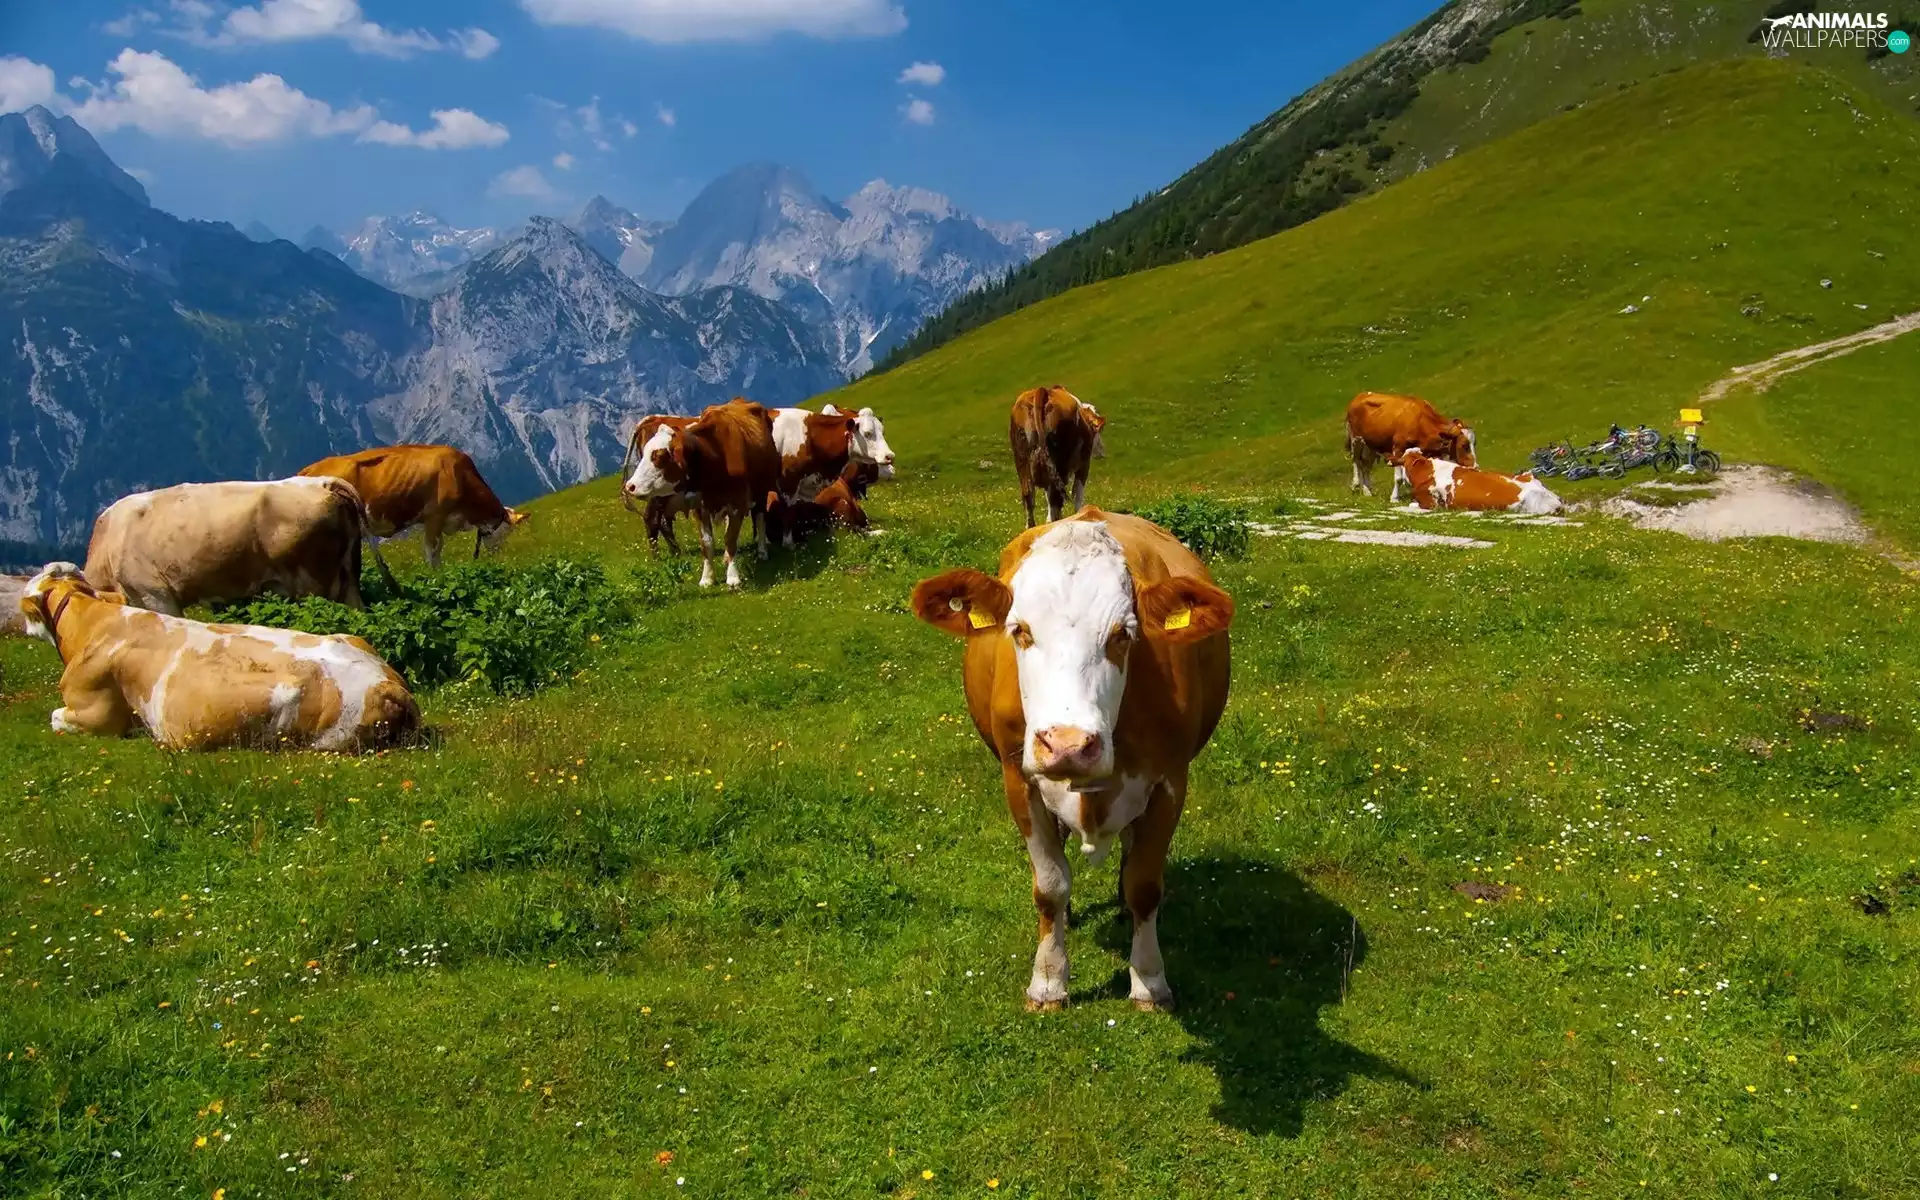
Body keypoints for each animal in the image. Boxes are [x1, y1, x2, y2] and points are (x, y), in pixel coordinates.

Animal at [297, 444, 527, 579]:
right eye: (503, 533)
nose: (495, 558)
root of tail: (308, 469)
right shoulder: (435, 515)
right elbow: (432, 551)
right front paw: (436, 577)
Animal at [623, 398, 780, 589]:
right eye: (647, 454)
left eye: (658, 456)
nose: (630, 486)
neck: (715, 455)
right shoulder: (699, 507)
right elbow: (706, 543)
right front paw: (707, 578)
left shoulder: (738, 503)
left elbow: (730, 539)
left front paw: (733, 577)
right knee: (655, 520)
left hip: (762, 489)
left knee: (760, 516)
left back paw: (762, 551)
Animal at [911, 509, 1234, 1013]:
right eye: (1020, 630)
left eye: (1122, 634)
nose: (1067, 745)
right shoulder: (1019, 780)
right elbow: (1050, 886)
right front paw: (1048, 981)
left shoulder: (1170, 782)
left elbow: (1145, 885)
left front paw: (1149, 981)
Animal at [1010, 387, 1107, 528]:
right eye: (1098, 431)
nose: (1101, 452)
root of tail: (1042, 390)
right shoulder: (1084, 465)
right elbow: (1077, 493)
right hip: (1060, 464)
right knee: (1055, 498)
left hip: (1022, 460)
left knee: (1029, 494)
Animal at [1345, 391, 1477, 503]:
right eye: (1464, 445)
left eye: (1474, 444)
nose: (1476, 467)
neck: (1420, 421)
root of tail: (1361, 395)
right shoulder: (1398, 448)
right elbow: (1398, 478)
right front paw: (1394, 498)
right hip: (1356, 439)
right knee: (1356, 460)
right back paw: (1355, 485)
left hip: (1371, 445)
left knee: (1366, 466)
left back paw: (1367, 491)